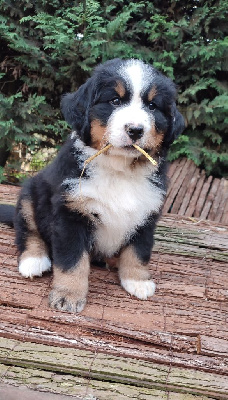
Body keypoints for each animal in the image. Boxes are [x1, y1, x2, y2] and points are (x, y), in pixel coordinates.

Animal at [0, 59, 185, 312]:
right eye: (115, 101)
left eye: (152, 106)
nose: (135, 130)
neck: (120, 170)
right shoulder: (70, 213)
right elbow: (72, 260)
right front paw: (68, 295)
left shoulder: (147, 213)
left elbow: (138, 251)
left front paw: (137, 280)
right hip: (31, 193)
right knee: (28, 230)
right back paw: (34, 260)